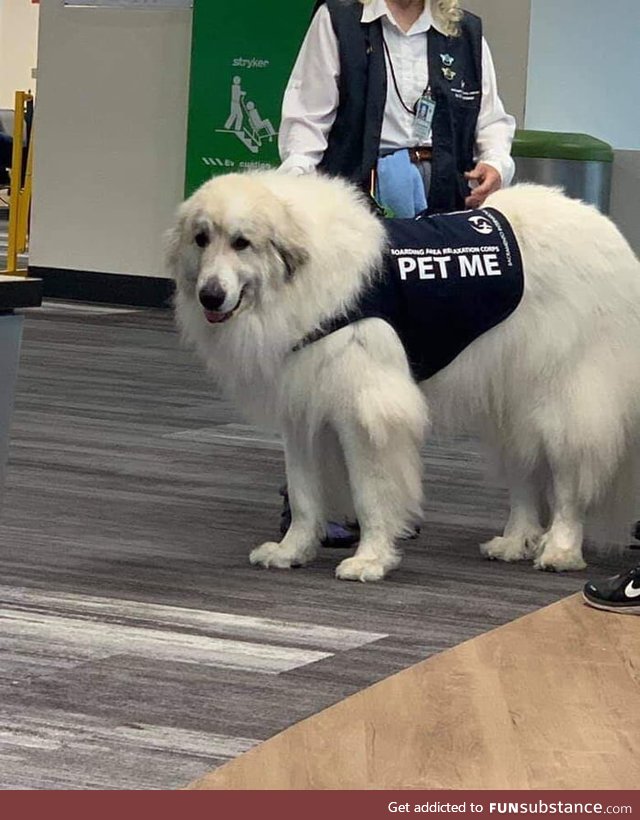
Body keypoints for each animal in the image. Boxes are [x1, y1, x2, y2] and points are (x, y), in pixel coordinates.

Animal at [168, 171, 640, 584]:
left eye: (242, 243)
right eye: (201, 239)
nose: (210, 295)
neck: (303, 278)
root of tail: (607, 231)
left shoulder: (368, 413)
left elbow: (371, 493)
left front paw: (370, 560)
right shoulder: (302, 411)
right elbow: (303, 494)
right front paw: (292, 551)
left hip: (567, 397)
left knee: (569, 480)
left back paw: (560, 549)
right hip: (510, 399)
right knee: (525, 471)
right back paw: (515, 541)